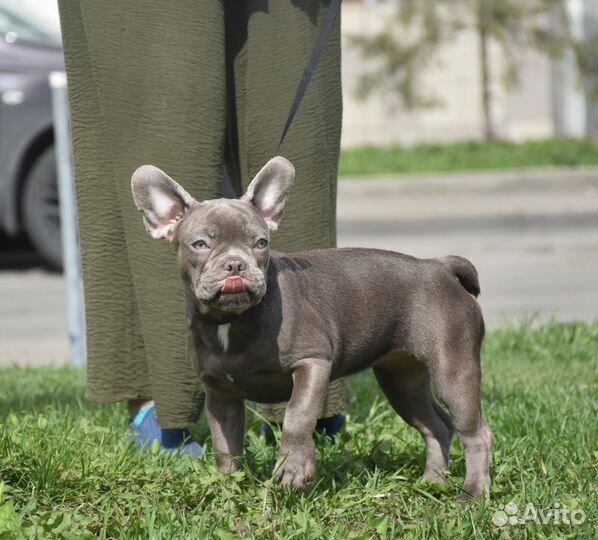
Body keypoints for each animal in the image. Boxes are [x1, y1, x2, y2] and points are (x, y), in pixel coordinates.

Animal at [134, 156, 494, 498]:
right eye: (200, 245)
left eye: (261, 243)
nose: (235, 264)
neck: (232, 320)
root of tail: (439, 267)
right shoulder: (220, 394)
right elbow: (226, 447)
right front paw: (227, 488)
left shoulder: (312, 363)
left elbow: (297, 416)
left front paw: (293, 468)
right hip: (401, 381)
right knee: (436, 426)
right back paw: (432, 482)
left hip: (453, 369)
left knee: (476, 433)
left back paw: (472, 494)